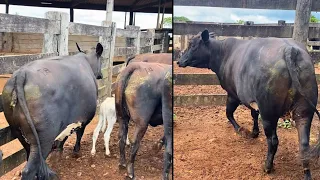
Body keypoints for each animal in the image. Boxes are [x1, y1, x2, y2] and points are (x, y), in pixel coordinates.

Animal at [1, 43, 104, 179]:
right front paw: (75, 151)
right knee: (29, 168)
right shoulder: (83, 118)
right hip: (44, 136)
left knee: (32, 157)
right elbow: (77, 134)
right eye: (102, 60)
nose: (101, 75)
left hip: (19, 132)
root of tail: (21, 73)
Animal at [178, 28, 320, 179]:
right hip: (304, 111)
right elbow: (253, 114)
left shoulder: (233, 94)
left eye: (192, 44)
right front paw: (254, 132)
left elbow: (229, 113)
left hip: (268, 112)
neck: (223, 53)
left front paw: (242, 130)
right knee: (304, 144)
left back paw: (267, 166)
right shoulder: (252, 100)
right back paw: (307, 174)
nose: (179, 61)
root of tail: (290, 49)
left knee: (273, 140)